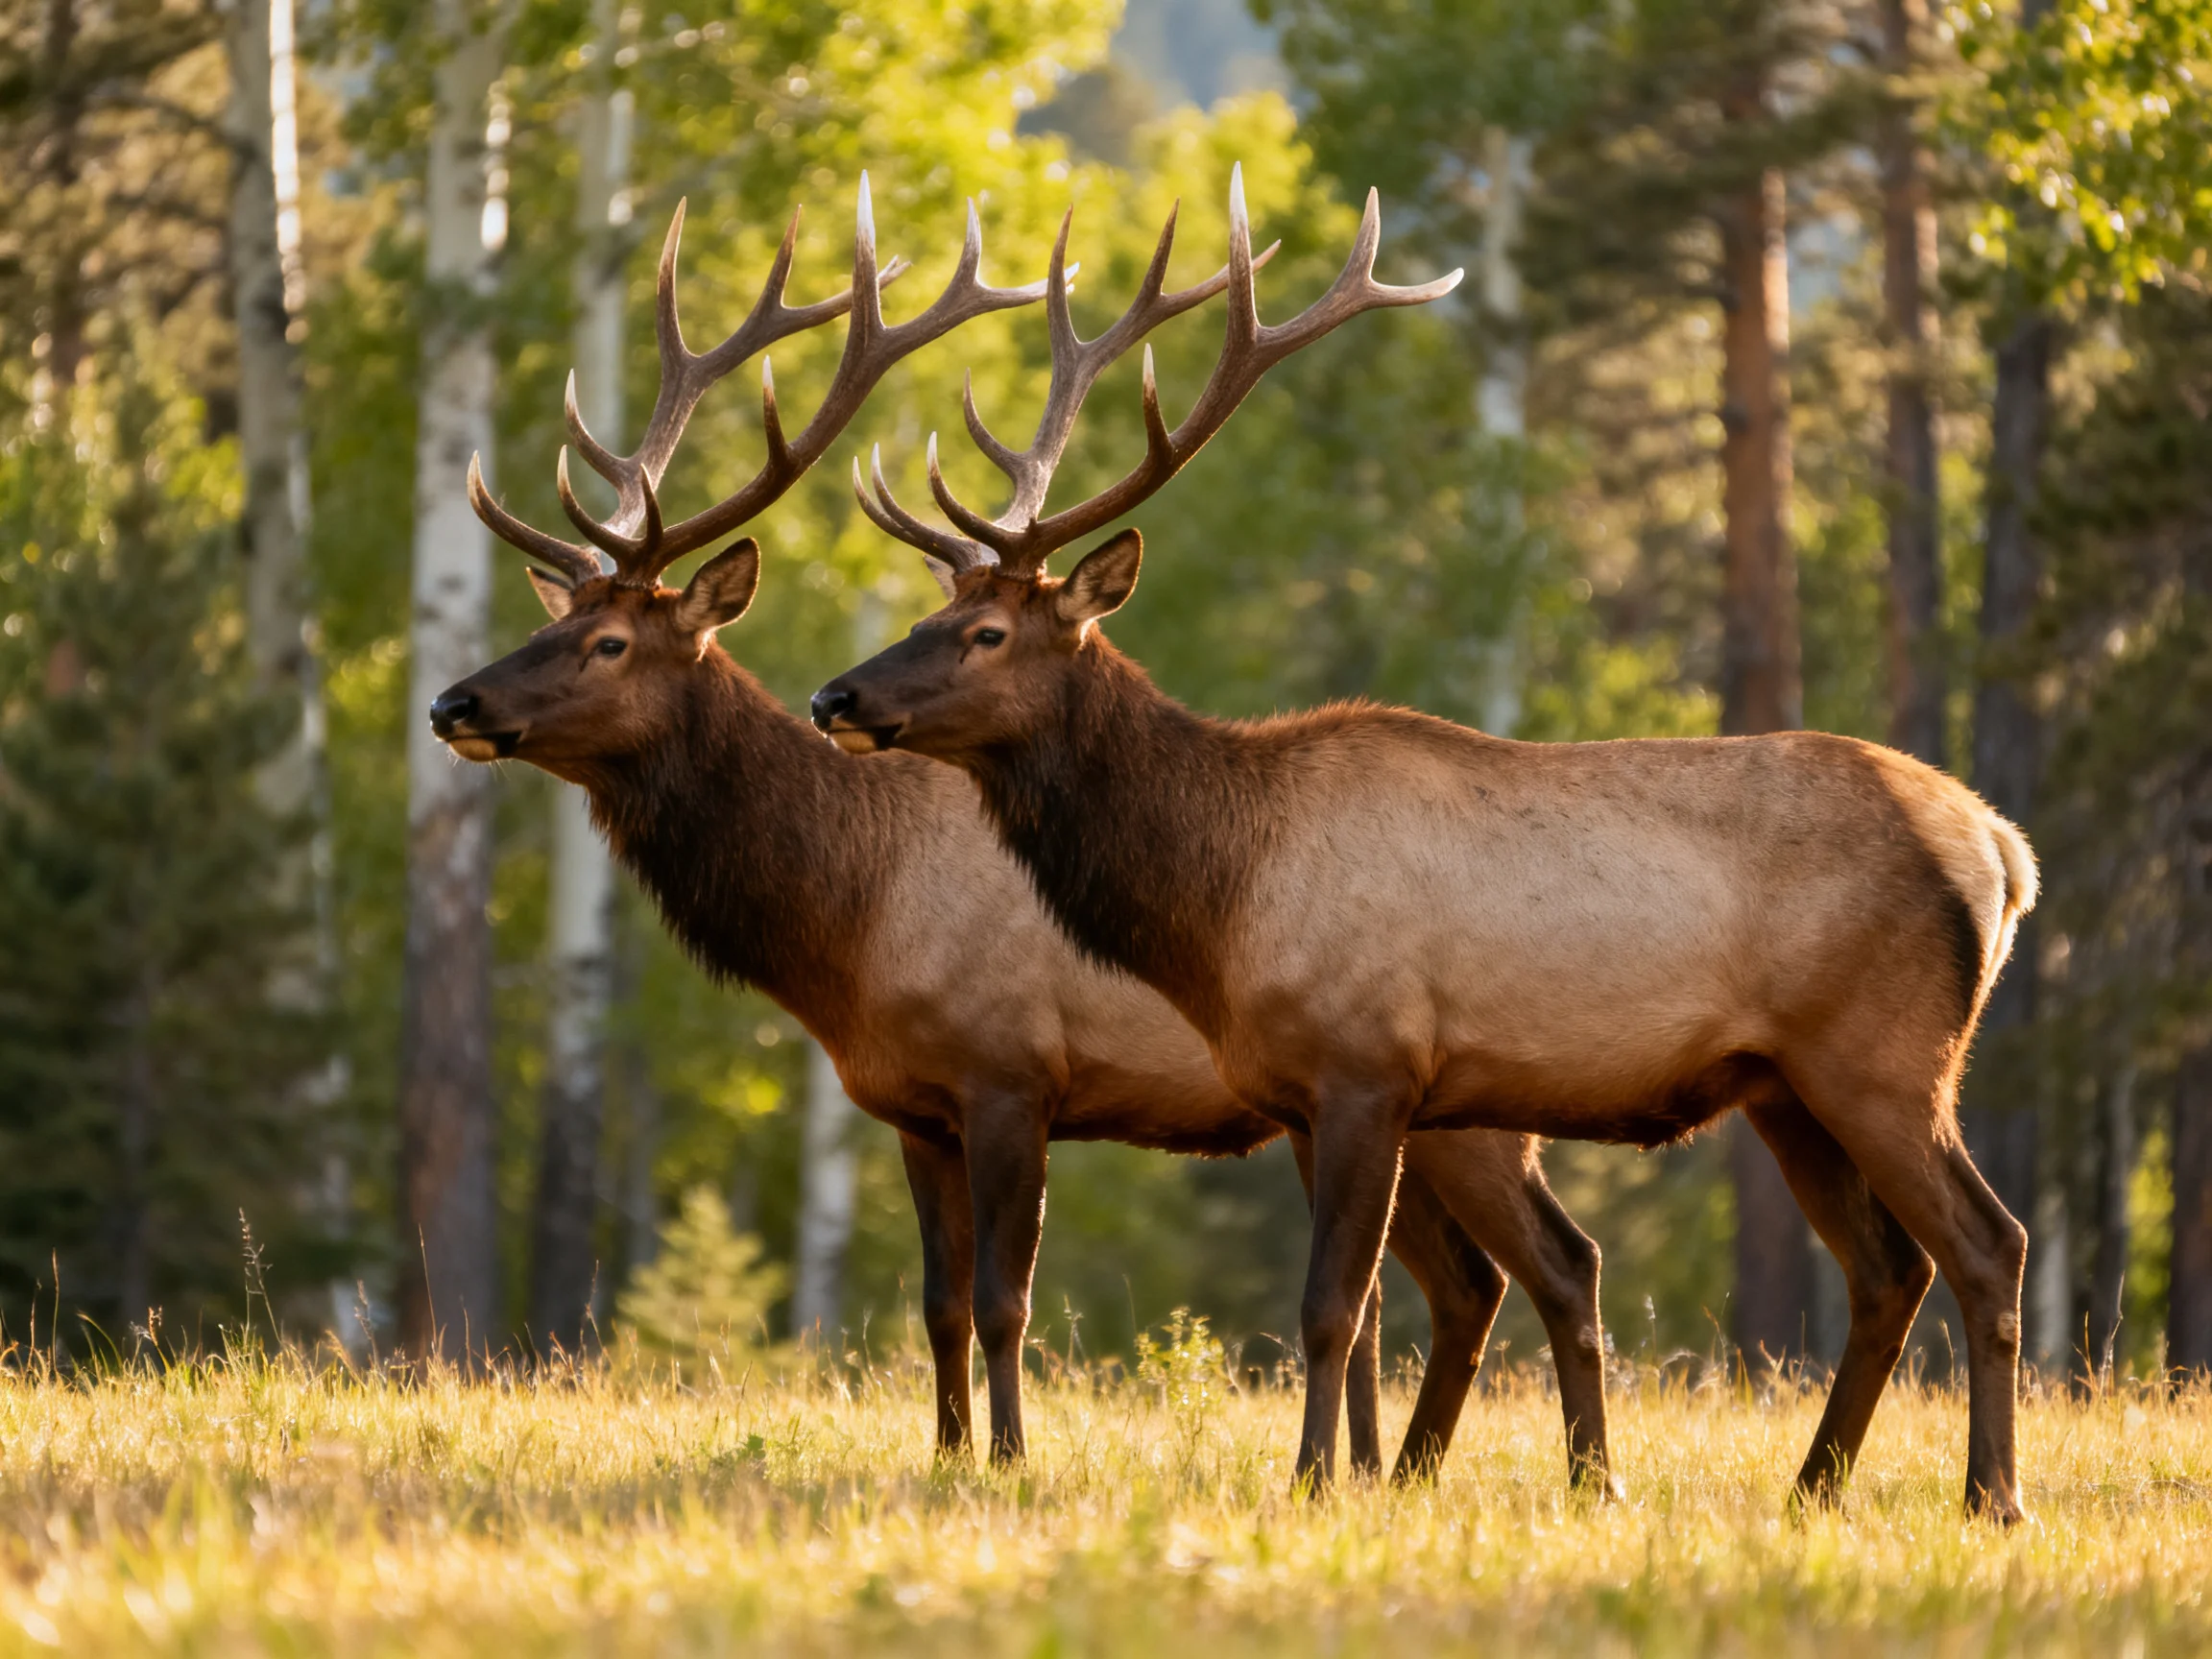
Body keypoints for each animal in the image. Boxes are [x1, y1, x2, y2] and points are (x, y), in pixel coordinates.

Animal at [429, 183, 1620, 1487]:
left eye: (607, 644)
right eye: (555, 622)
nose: (453, 704)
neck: (844, 928)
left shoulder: (1011, 1070)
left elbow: (1007, 1300)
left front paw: (1006, 1459)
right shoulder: (913, 1106)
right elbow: (940, 1305)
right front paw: (950, 1455)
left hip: (1472, 1106)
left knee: (1544, 1266)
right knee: (1467, 1285)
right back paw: (1399, 1471)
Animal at [811, 167, 2043, 1521]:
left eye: (985, 632)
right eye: (932, 610)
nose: (835, 697)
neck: (1218, 900)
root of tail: (2000, 848)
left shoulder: (1366, 1064)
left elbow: (1332, 1309)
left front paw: (1312, 1485)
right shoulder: (1297, 1092)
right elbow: (1349, 1309)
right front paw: (1349, 1472)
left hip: (1885, 1055)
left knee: (1989, 1243)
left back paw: (1992, 1495)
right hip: (1786, 1084)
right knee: (1887, 1269)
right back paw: (1811, 1487)